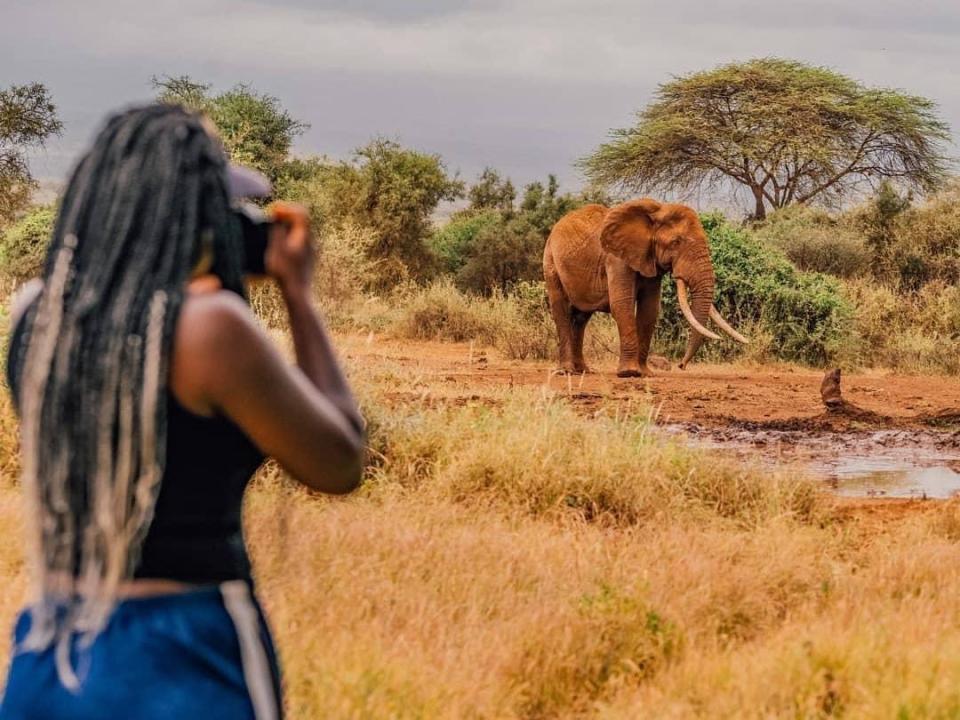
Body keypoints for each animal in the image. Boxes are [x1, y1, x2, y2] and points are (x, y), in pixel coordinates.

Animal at [544, 197, 748, 376]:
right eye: (676, 242)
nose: (681, 365)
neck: (656, 212)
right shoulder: (616, 259)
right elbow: (622, 305)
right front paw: (629, 373)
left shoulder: (650, 260)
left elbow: (650, 309)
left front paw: (645, 373)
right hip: (550, 262)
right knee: (562, 311)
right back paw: (566, 371)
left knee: (581, 317)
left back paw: (584, 371)